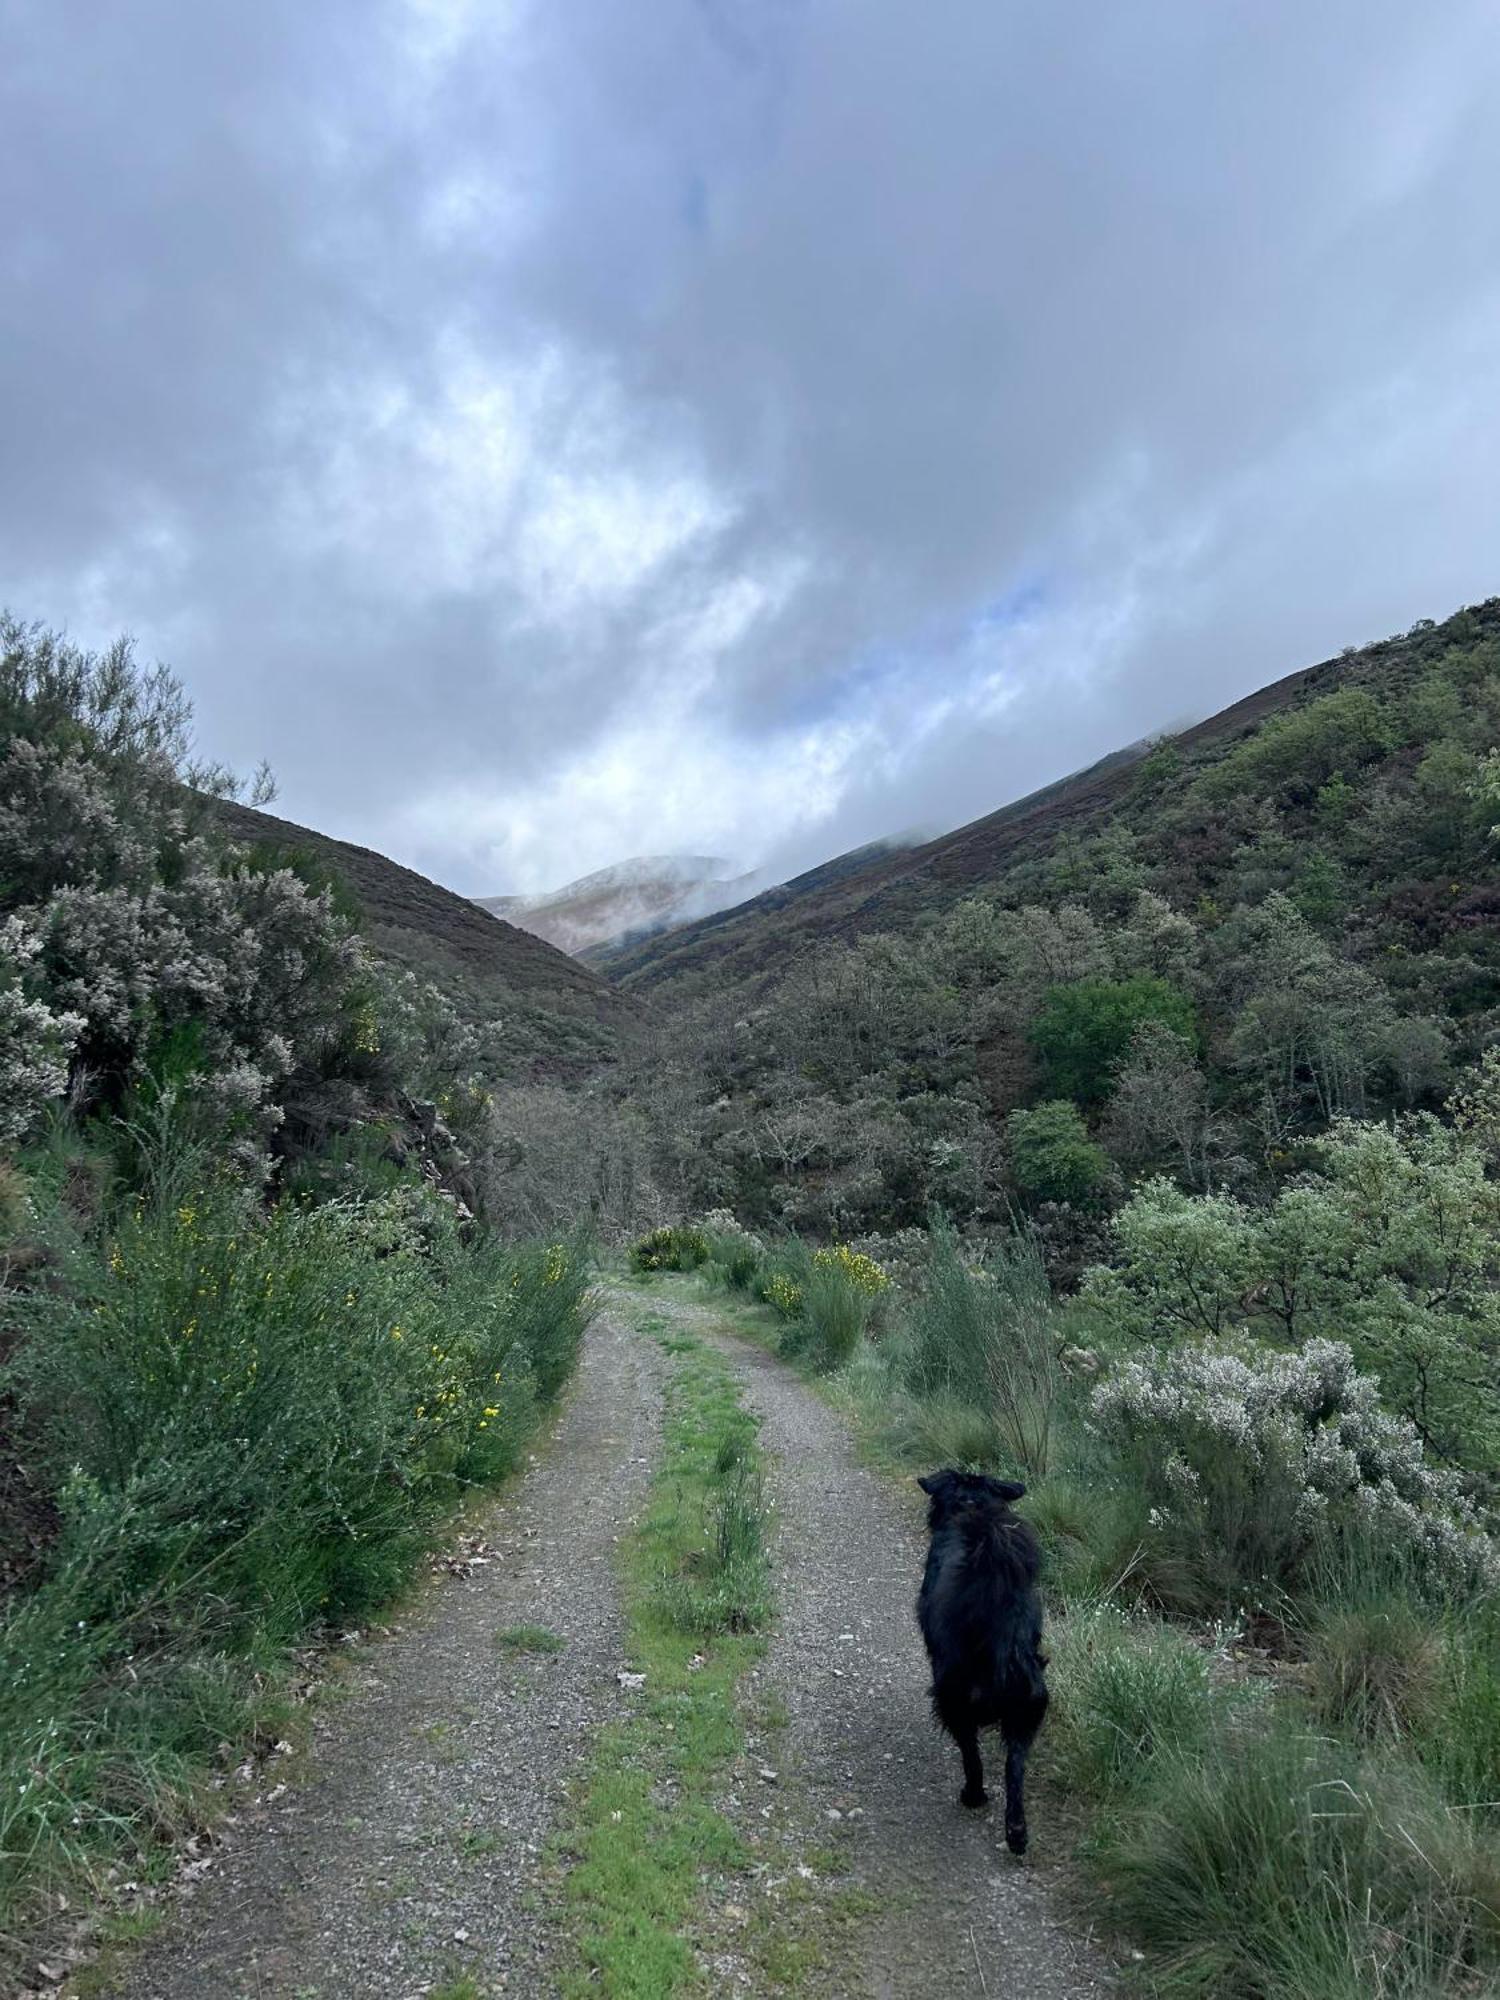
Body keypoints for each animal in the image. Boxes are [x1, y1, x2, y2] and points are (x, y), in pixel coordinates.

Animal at [912, 1464, 1048, 1848]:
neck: (972, 1506)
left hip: (952, 1695)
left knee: (971, 1755)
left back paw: (973, 1796)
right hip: (1029, 1701)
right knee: (1014, 1767)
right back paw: (1016, 1832)